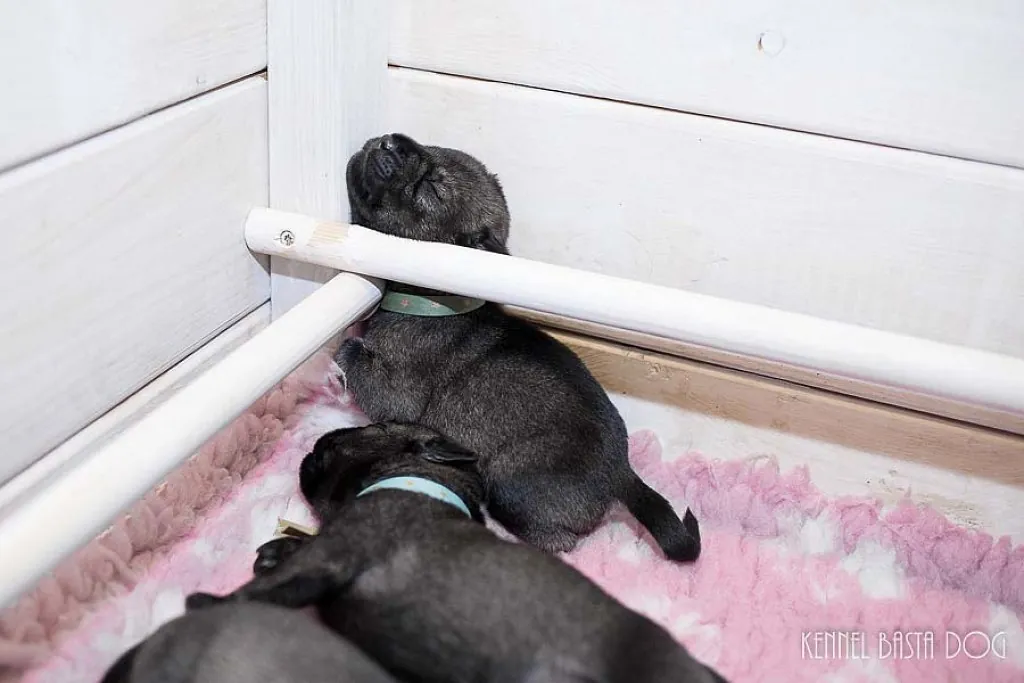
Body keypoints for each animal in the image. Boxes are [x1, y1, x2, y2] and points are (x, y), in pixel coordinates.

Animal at [186, 423, 728, 683]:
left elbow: (270, 586)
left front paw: (209, 603)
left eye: (360, 432)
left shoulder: (342, 549)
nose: (317, 441)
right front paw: (277, 546)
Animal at [338, 133, 700, 562]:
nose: (390, 141)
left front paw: (343, 352)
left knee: (558, 539)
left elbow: (358, 361)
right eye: (433, 147)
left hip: (512, 482)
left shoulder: (396, 394)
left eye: (432, 187)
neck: (438, 298)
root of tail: (622, 475)